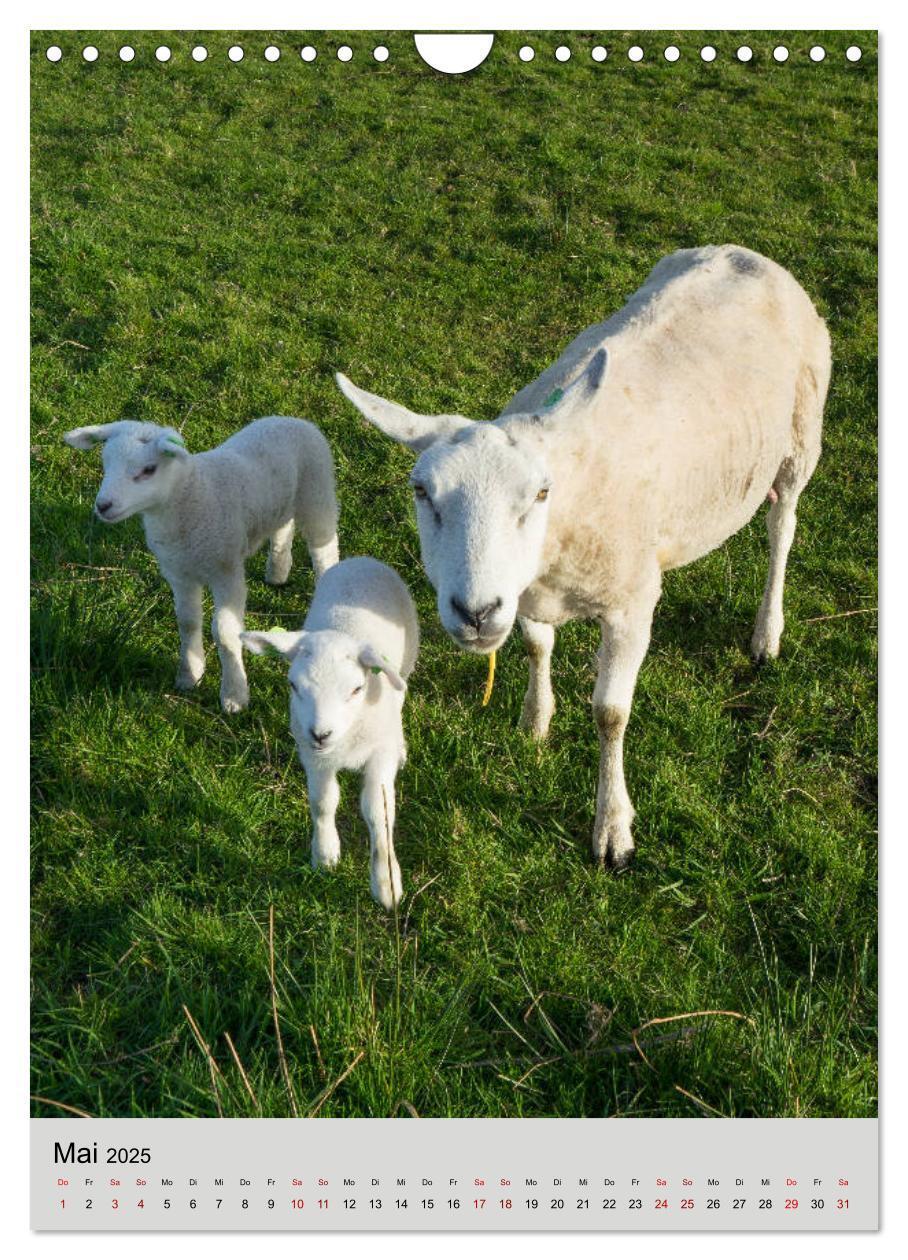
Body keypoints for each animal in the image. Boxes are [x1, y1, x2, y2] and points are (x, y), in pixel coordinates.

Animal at [63, 413, 337, 710]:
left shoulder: (227, 571)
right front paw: (190, 674)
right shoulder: (179, 573)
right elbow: (187, 622)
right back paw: (277, 571)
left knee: (325, 550)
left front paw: (234, 694)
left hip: (318, 492)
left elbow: (225, 632)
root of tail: (291, 419)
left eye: (149, 469)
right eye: (106, 463)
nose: (103, 505)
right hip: (279, 500)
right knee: (283, 525)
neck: (191, 496)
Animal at [240, 556, 418, 912]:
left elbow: (378, 811)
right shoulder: (313, 756)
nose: (321, 733)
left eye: (357, 689)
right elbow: (323, 801)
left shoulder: (379, 754)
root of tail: (360, 559)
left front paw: (386, 883)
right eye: (293, 685)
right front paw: (325, 854)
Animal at [337, 246, 831, 876]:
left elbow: (610, 714)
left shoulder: (632, 603)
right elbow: (534, 646)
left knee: (782, 529)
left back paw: (767, 632)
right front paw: (535, 720)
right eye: (421, 491)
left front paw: (613, 828)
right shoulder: (525, 593)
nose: (475, 613)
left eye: (541, 493)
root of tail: (744, 252)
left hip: (799, 441)